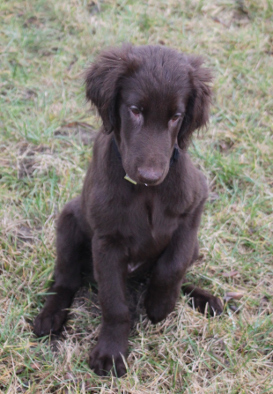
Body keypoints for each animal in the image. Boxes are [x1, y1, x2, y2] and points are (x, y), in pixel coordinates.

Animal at [34, 44, 222, 378]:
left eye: (176, 116)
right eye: (135, 110)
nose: (150, 175)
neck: (145, 192)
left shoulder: (194, 207)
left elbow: (172, 265)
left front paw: (160, 305)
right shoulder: (107, 243)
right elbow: (114, 303)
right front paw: (111, 353)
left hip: (196, 245)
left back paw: (205, 299)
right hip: (69, 221)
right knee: (66, 280)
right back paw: (51, 315)